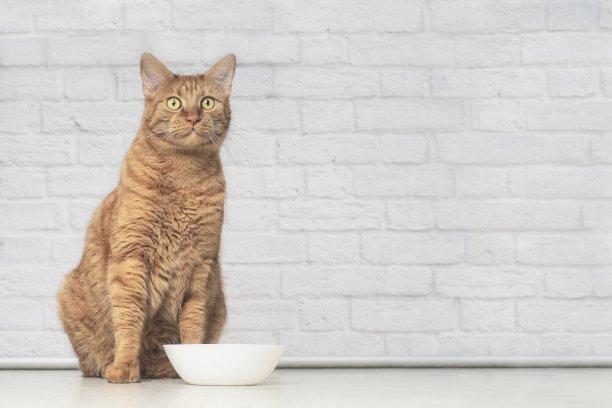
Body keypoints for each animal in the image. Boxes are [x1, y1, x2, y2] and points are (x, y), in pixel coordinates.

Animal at [58, 52, 236, 383]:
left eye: (207, 102)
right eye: (174, 103)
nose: (193, 118)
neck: (183, 178)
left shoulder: (201, 267)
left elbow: (193, 322)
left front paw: (194, 364)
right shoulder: (131, 259)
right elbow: (128, 319)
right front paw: (125, 366)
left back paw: (167, 368)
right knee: (93, 362)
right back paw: (112, 365)